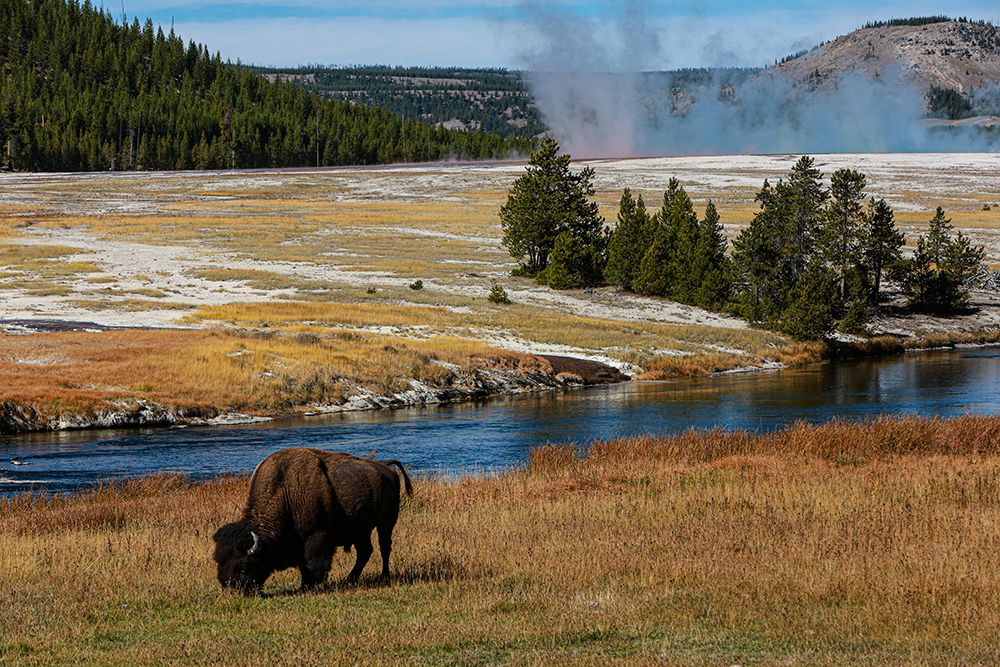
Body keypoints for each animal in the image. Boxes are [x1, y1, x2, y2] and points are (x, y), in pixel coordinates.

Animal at [212, 448, 413, 593]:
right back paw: (350, 580)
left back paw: (384, 576)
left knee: (385, 547)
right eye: (219, 560)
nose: (231, 587)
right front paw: (306, 584)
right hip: (361, 530)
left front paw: (310, 585)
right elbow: (303, 564)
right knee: (365, 551)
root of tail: (385, 466)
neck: (286, 492)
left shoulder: (316, 536)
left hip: (386, 522)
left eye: (243, 565)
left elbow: (312, 563)